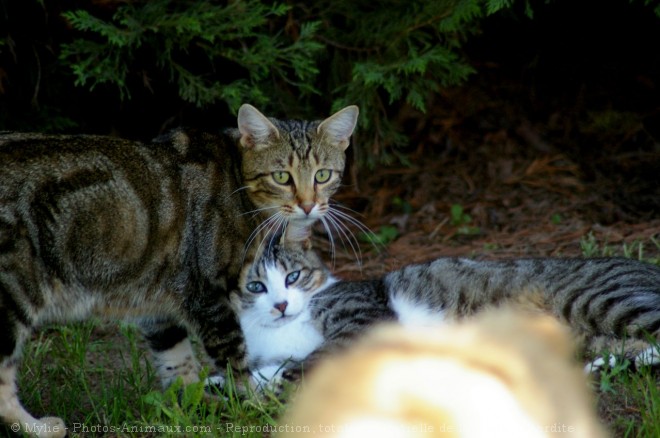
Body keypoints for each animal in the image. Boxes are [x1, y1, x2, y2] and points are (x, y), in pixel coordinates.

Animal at [0, 104, 358, 436]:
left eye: (323, 175)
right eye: (282, 176)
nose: (308, 205)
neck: (237, 182)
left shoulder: (157, 298)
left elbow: (177, 361)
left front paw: (197, 404)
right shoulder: (208, 295)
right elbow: (235, 360)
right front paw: (254, 406)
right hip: (13, 296)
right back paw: (39, 428)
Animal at [232, 240, 660, 386]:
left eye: (293, 276)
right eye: (256, 287)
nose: (281, 305)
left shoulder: (362, 319)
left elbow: (313, 360)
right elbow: (257, 378)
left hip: (603, 300)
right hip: (593, 337)